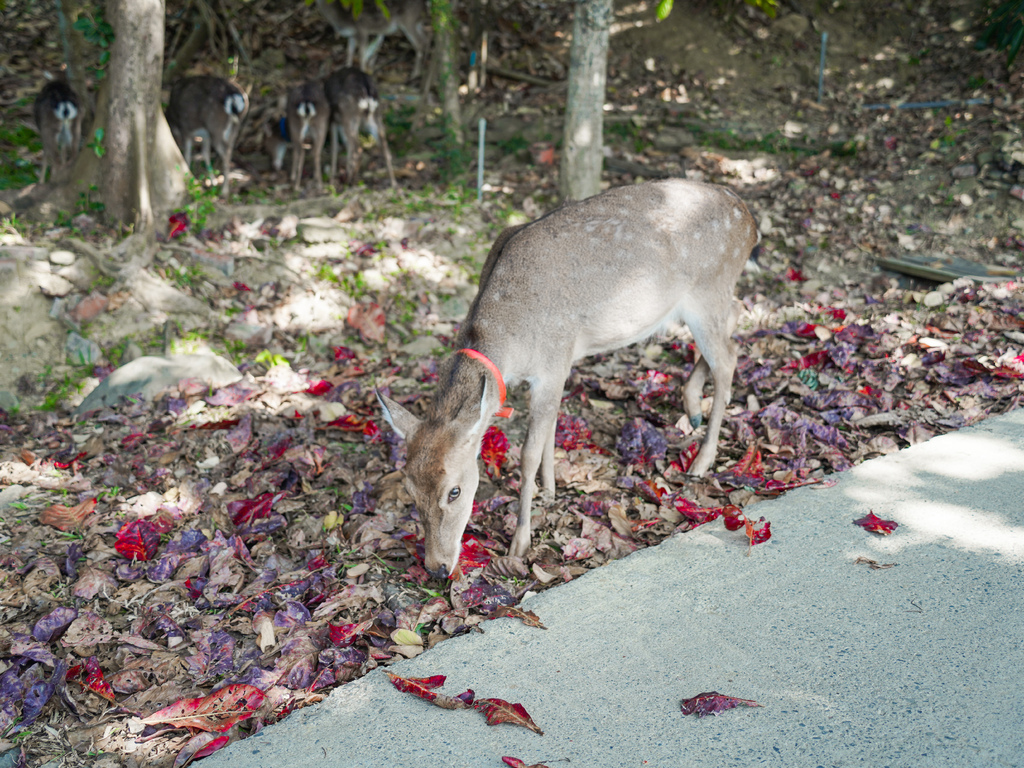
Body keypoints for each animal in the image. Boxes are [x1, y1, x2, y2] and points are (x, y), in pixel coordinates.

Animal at [376, 179, 761, 577]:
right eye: (409, 490)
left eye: (454, 490)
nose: (436, 567)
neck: (511, 338)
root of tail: (751, 224)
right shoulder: (558, 366)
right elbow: (551, 427)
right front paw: (550, 489)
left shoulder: (552, 361)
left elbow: (528, 452)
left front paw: (520, 541)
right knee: (735, 319)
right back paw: (692, 404)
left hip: (709, 288)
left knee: (728, 358)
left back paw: (702, 459)